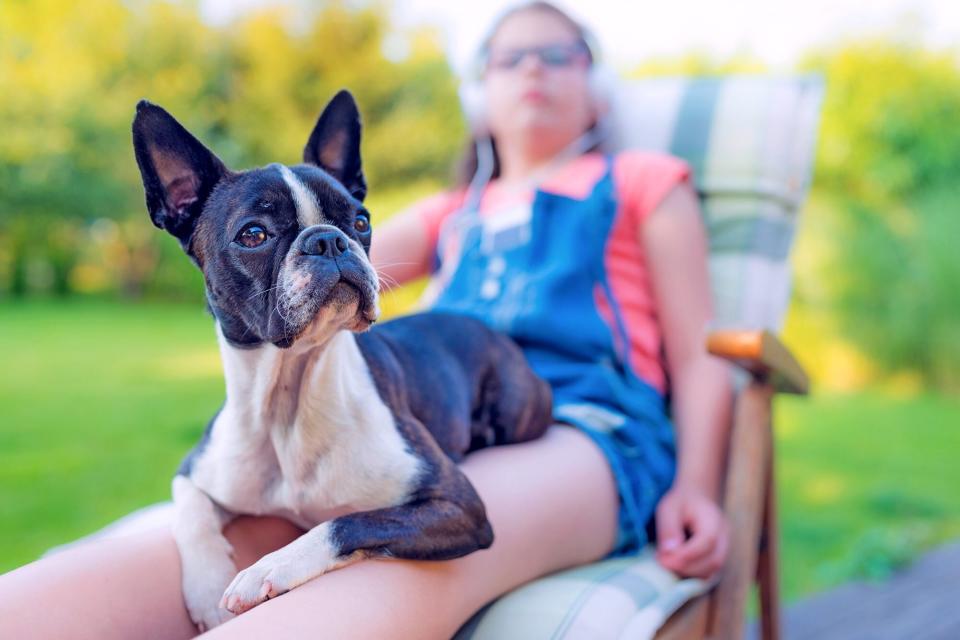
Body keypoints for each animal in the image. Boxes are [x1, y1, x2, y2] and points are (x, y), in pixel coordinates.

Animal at [133, 90, 556, 632]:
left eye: (360, 221)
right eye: (253, 234)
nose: (328, 239)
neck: (288, 400)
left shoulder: (457, 505)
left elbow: (346, 522)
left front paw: (269, 566)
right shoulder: (196, 470)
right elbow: (191, 513)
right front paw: (206, 589)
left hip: (515, 411)